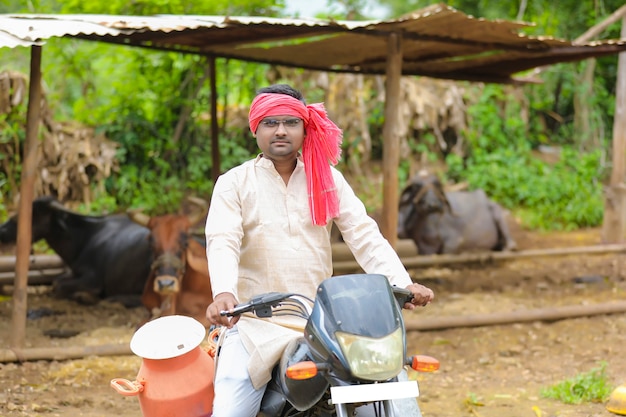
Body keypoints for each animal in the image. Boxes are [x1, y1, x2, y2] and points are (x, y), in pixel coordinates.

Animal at [0, 197, 151, 304]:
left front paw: (86, 296)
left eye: (34, 213)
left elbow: (59, 286)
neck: (84, 238)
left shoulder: (93, 279)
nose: (2, 229)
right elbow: (56, 281)